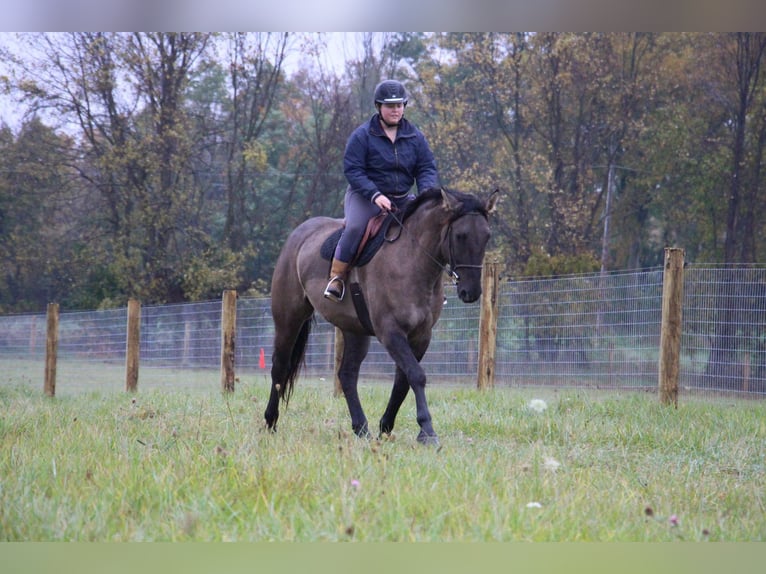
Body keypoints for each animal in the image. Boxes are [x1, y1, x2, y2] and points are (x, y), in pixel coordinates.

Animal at [268, 187, 500, 448]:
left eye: (487, 236)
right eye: (460, 235)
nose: (471, 292)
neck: (411, 260)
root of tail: (298, 235)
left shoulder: (421, 336)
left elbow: (403, 381)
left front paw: (385, 427)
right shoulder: (390, 332)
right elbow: (417, 376)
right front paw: (427, 431)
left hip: (354, 331)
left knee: (347, 375)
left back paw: (361, 428)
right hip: (289, 318)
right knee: (280, 368)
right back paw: (270, 422)